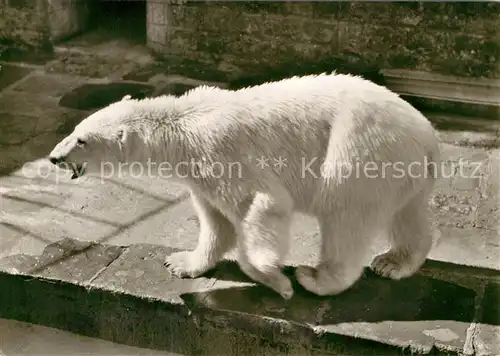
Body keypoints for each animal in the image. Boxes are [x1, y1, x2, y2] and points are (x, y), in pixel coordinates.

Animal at [47, 73, 438, 300]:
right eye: (74, 130)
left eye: (81, 140)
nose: (53, 157)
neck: (181, 127)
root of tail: (428, 136)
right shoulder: (200, 173)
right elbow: (215, 222)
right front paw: (181, 262)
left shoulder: (223, 154)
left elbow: (261, 205)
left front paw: (276, 280)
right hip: (403, 168)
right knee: (408, 215)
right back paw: (394, 262)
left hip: (359, 151)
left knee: (346, 218)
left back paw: (316, 278)